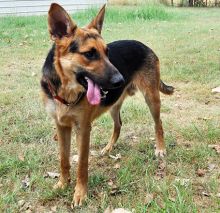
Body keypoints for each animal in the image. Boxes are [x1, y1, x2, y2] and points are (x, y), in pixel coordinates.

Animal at [40, 3, 174, 206]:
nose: (120, 80)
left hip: (152, 99)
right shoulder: (61, 126)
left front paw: (80, 193)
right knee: (118, 125)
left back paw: (160, 149)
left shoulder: (83, 129)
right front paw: (63, 184)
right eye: (89, 54)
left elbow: (82, 164)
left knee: (158, 123)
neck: (65, 90)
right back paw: (108, 148)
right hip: (113, 105)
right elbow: (63, 159)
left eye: (107, 52)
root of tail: (144, 45)